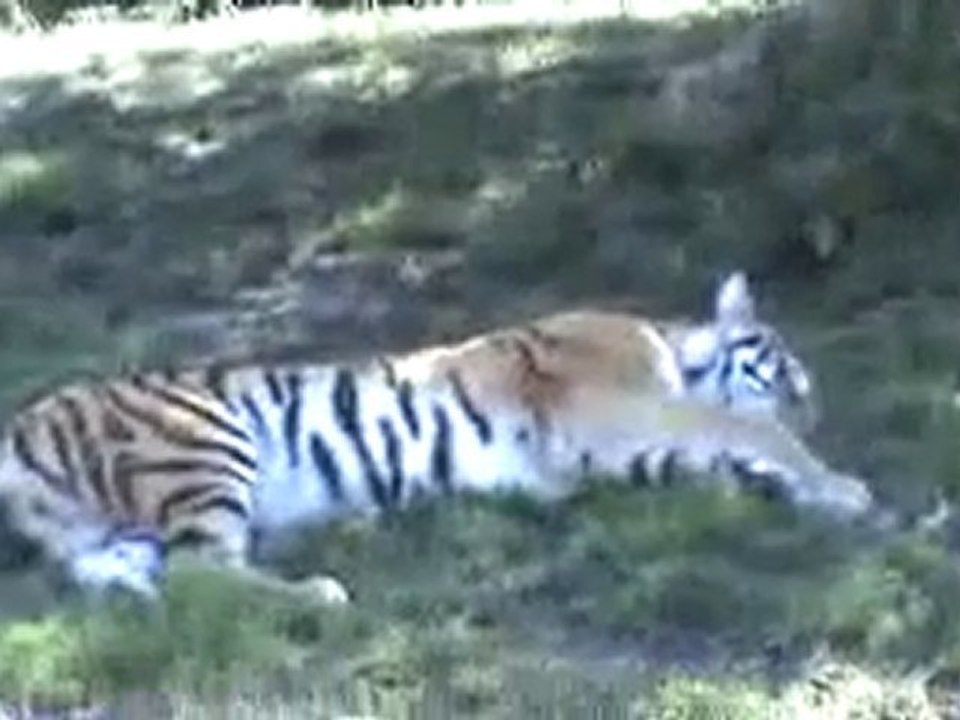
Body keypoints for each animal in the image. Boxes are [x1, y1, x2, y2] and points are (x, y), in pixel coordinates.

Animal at [0, 271, 873, 604]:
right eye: (788, 371)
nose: (815, 408)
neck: (665, 339)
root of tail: (21, 422)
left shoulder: (595, 460)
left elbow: (718, 461)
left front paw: (784, 488)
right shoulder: (624, 411)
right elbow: (742, 426)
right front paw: (841, 486)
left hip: (112, 532)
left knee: (139, 580)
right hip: (201, 441)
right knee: (201, 573)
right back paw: (320, 593)